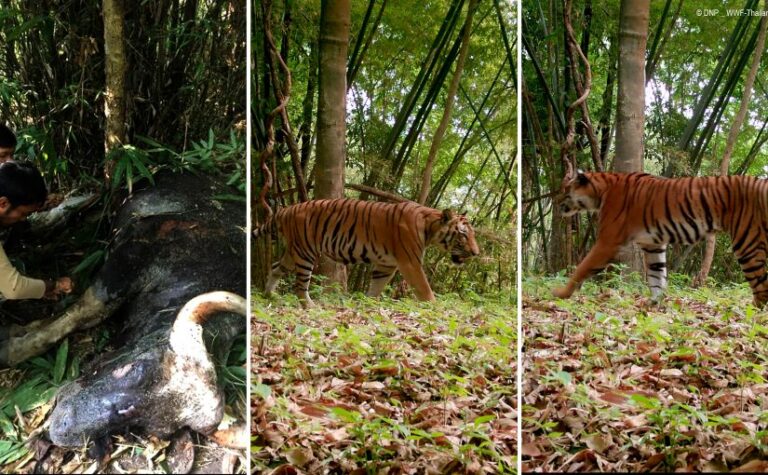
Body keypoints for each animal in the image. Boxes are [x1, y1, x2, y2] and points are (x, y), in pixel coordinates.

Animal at [253, 198, 480, 306]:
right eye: (463, 235)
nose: (476, 253)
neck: (430, 227)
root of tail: (286, 209)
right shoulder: (411, 263)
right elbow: (425, 289)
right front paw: (435, 308)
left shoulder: (386, 265)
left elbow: (376, 288)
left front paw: (368, 305)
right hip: (305, 252)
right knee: (300, 286)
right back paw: (310, 306)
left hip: (293, 253)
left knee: (276, 267)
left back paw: (269, 294)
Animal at [554, 166, 768, 307]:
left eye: (566, 190)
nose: (556, 202)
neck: (601, 190)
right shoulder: (653, 244)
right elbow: (657, 277)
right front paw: (653, 305)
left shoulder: (607, 242)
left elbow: (581, 269)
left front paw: (560, 294)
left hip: (747, 243)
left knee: (761, 289)